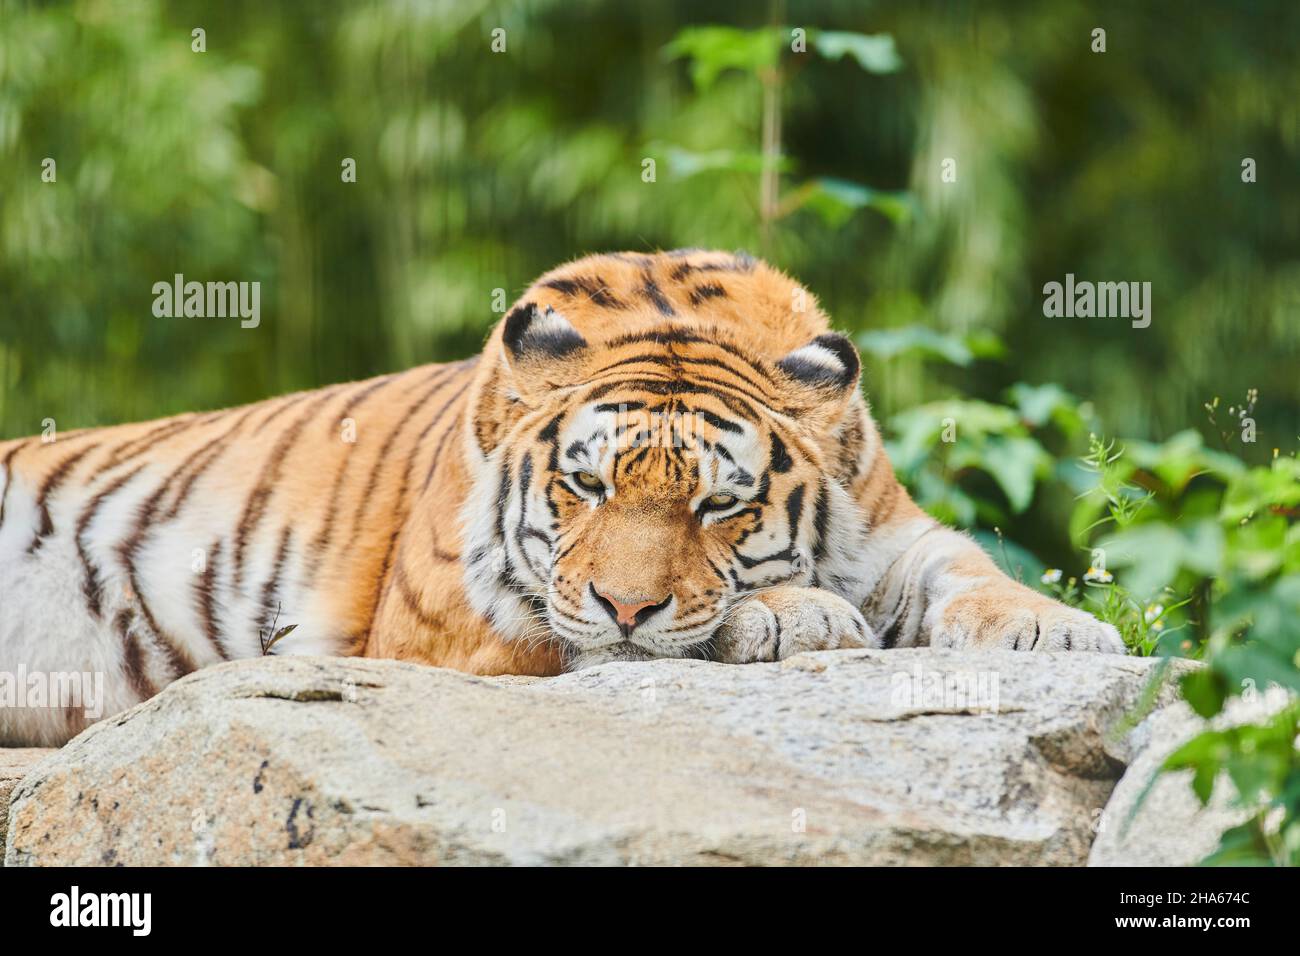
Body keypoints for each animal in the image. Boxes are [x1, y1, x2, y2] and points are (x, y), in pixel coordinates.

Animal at [0, 248, 1123, 749]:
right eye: (584, 485)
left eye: (719, 506)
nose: (627, 606)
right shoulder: (456, 633)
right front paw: (792, 614)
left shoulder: (893, 531)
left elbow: (967, 565)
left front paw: (1057, 630)